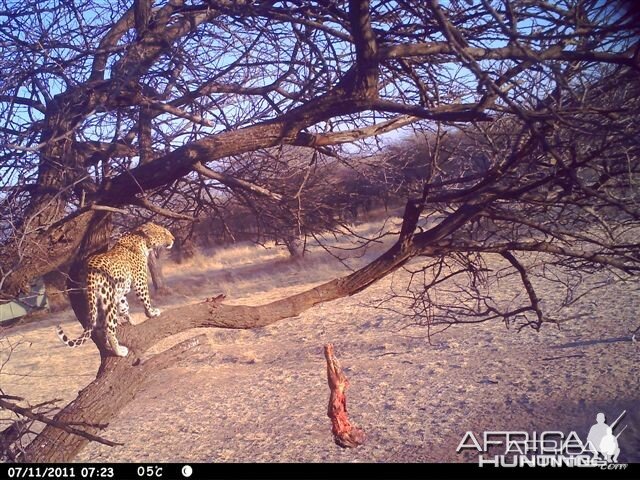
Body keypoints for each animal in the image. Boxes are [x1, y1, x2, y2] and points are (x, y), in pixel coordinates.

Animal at [55, 221, 174, 356]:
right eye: (164, 233)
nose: (174, 239)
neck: (142, 241)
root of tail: (90, 269)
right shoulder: (140, 281)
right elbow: (146, 299)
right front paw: (152, 313)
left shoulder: (120, 293)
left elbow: (124, 307)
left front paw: (131, 321)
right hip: (108, 299)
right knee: (109, 328)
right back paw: (119, 351)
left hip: (94, 299)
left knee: (100, 326)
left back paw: (107, 344)